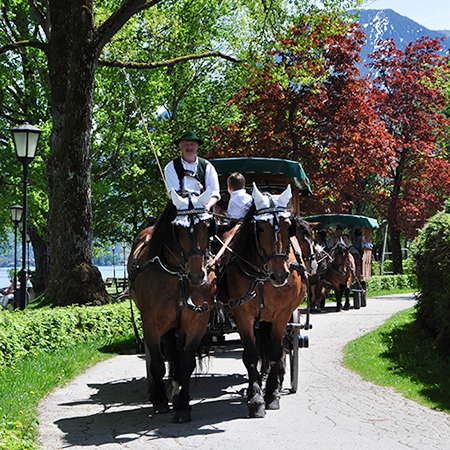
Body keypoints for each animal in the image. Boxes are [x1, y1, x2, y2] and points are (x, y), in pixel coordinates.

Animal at [127, 187, 217, 422]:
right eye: (178, 228)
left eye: (208, 225)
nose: (197, 275)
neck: (178, 275)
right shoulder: (151, 323)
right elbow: (157, 363)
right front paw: (159, 400)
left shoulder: (196, 323)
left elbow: (186, 363)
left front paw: (183, 405)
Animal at [216, 183, 308, 418]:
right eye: (261, 228)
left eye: (287, 226)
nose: (280, 275)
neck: (262, 276)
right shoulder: (243, 315)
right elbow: (251, 355)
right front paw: (256, 398)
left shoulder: (282, 314)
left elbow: (276, 352)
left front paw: (272, 394)